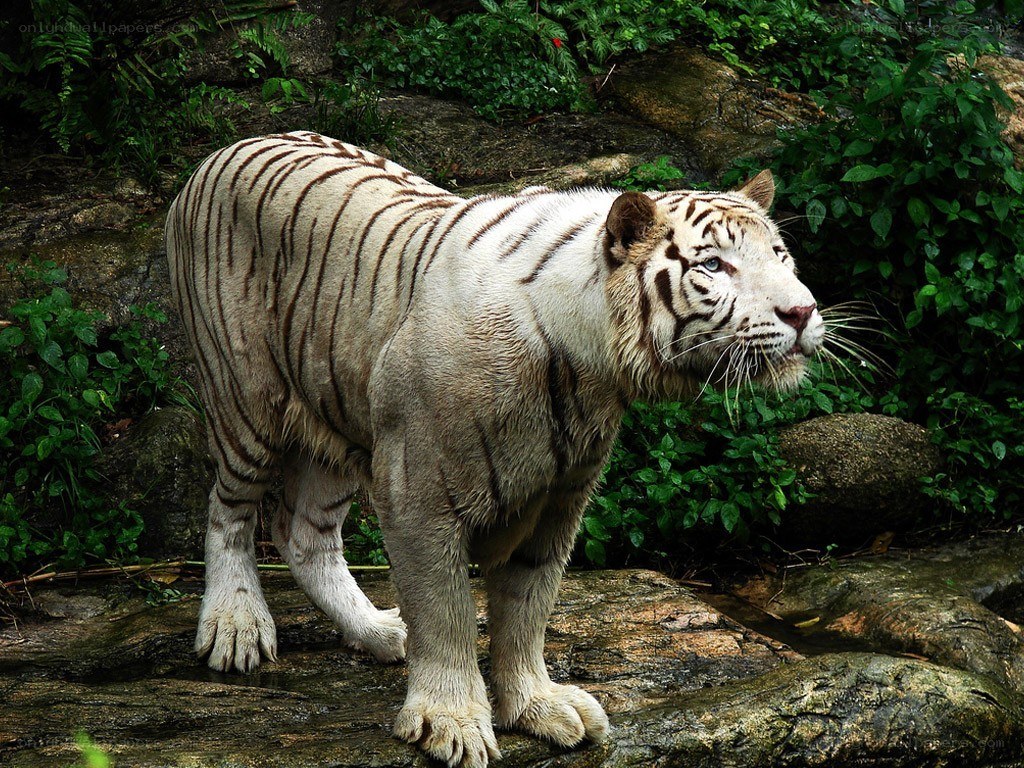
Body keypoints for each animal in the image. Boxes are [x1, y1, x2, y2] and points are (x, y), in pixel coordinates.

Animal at [165, 131, 823, 768]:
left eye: (779, 255)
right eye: (715, 264)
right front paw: (452, 723)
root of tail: (217, 155)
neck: (587, 366)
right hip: (245, 396)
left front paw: (538, 706)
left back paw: (378, 631)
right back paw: (235, 628)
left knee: (303, 532)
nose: (802, 310)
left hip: (340, 417)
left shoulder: (558, 499)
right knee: (229, 510)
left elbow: (528, 610)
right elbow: (446, 615)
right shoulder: (418, 490)